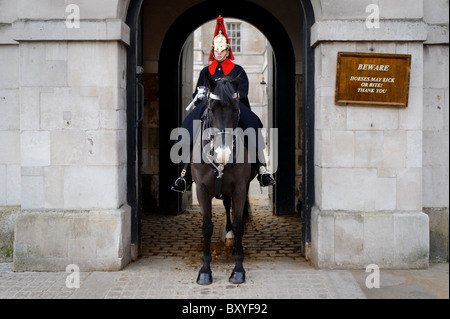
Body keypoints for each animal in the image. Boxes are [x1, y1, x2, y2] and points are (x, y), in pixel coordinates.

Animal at [191, 72, 256, 284]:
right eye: (211, 109)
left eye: (236, 110)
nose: (223, 154)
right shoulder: (201, 189)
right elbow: (207, 227)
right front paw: (205, 270)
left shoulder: (240, 188)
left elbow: (238, 225)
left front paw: (238, 269)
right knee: (227, 205)